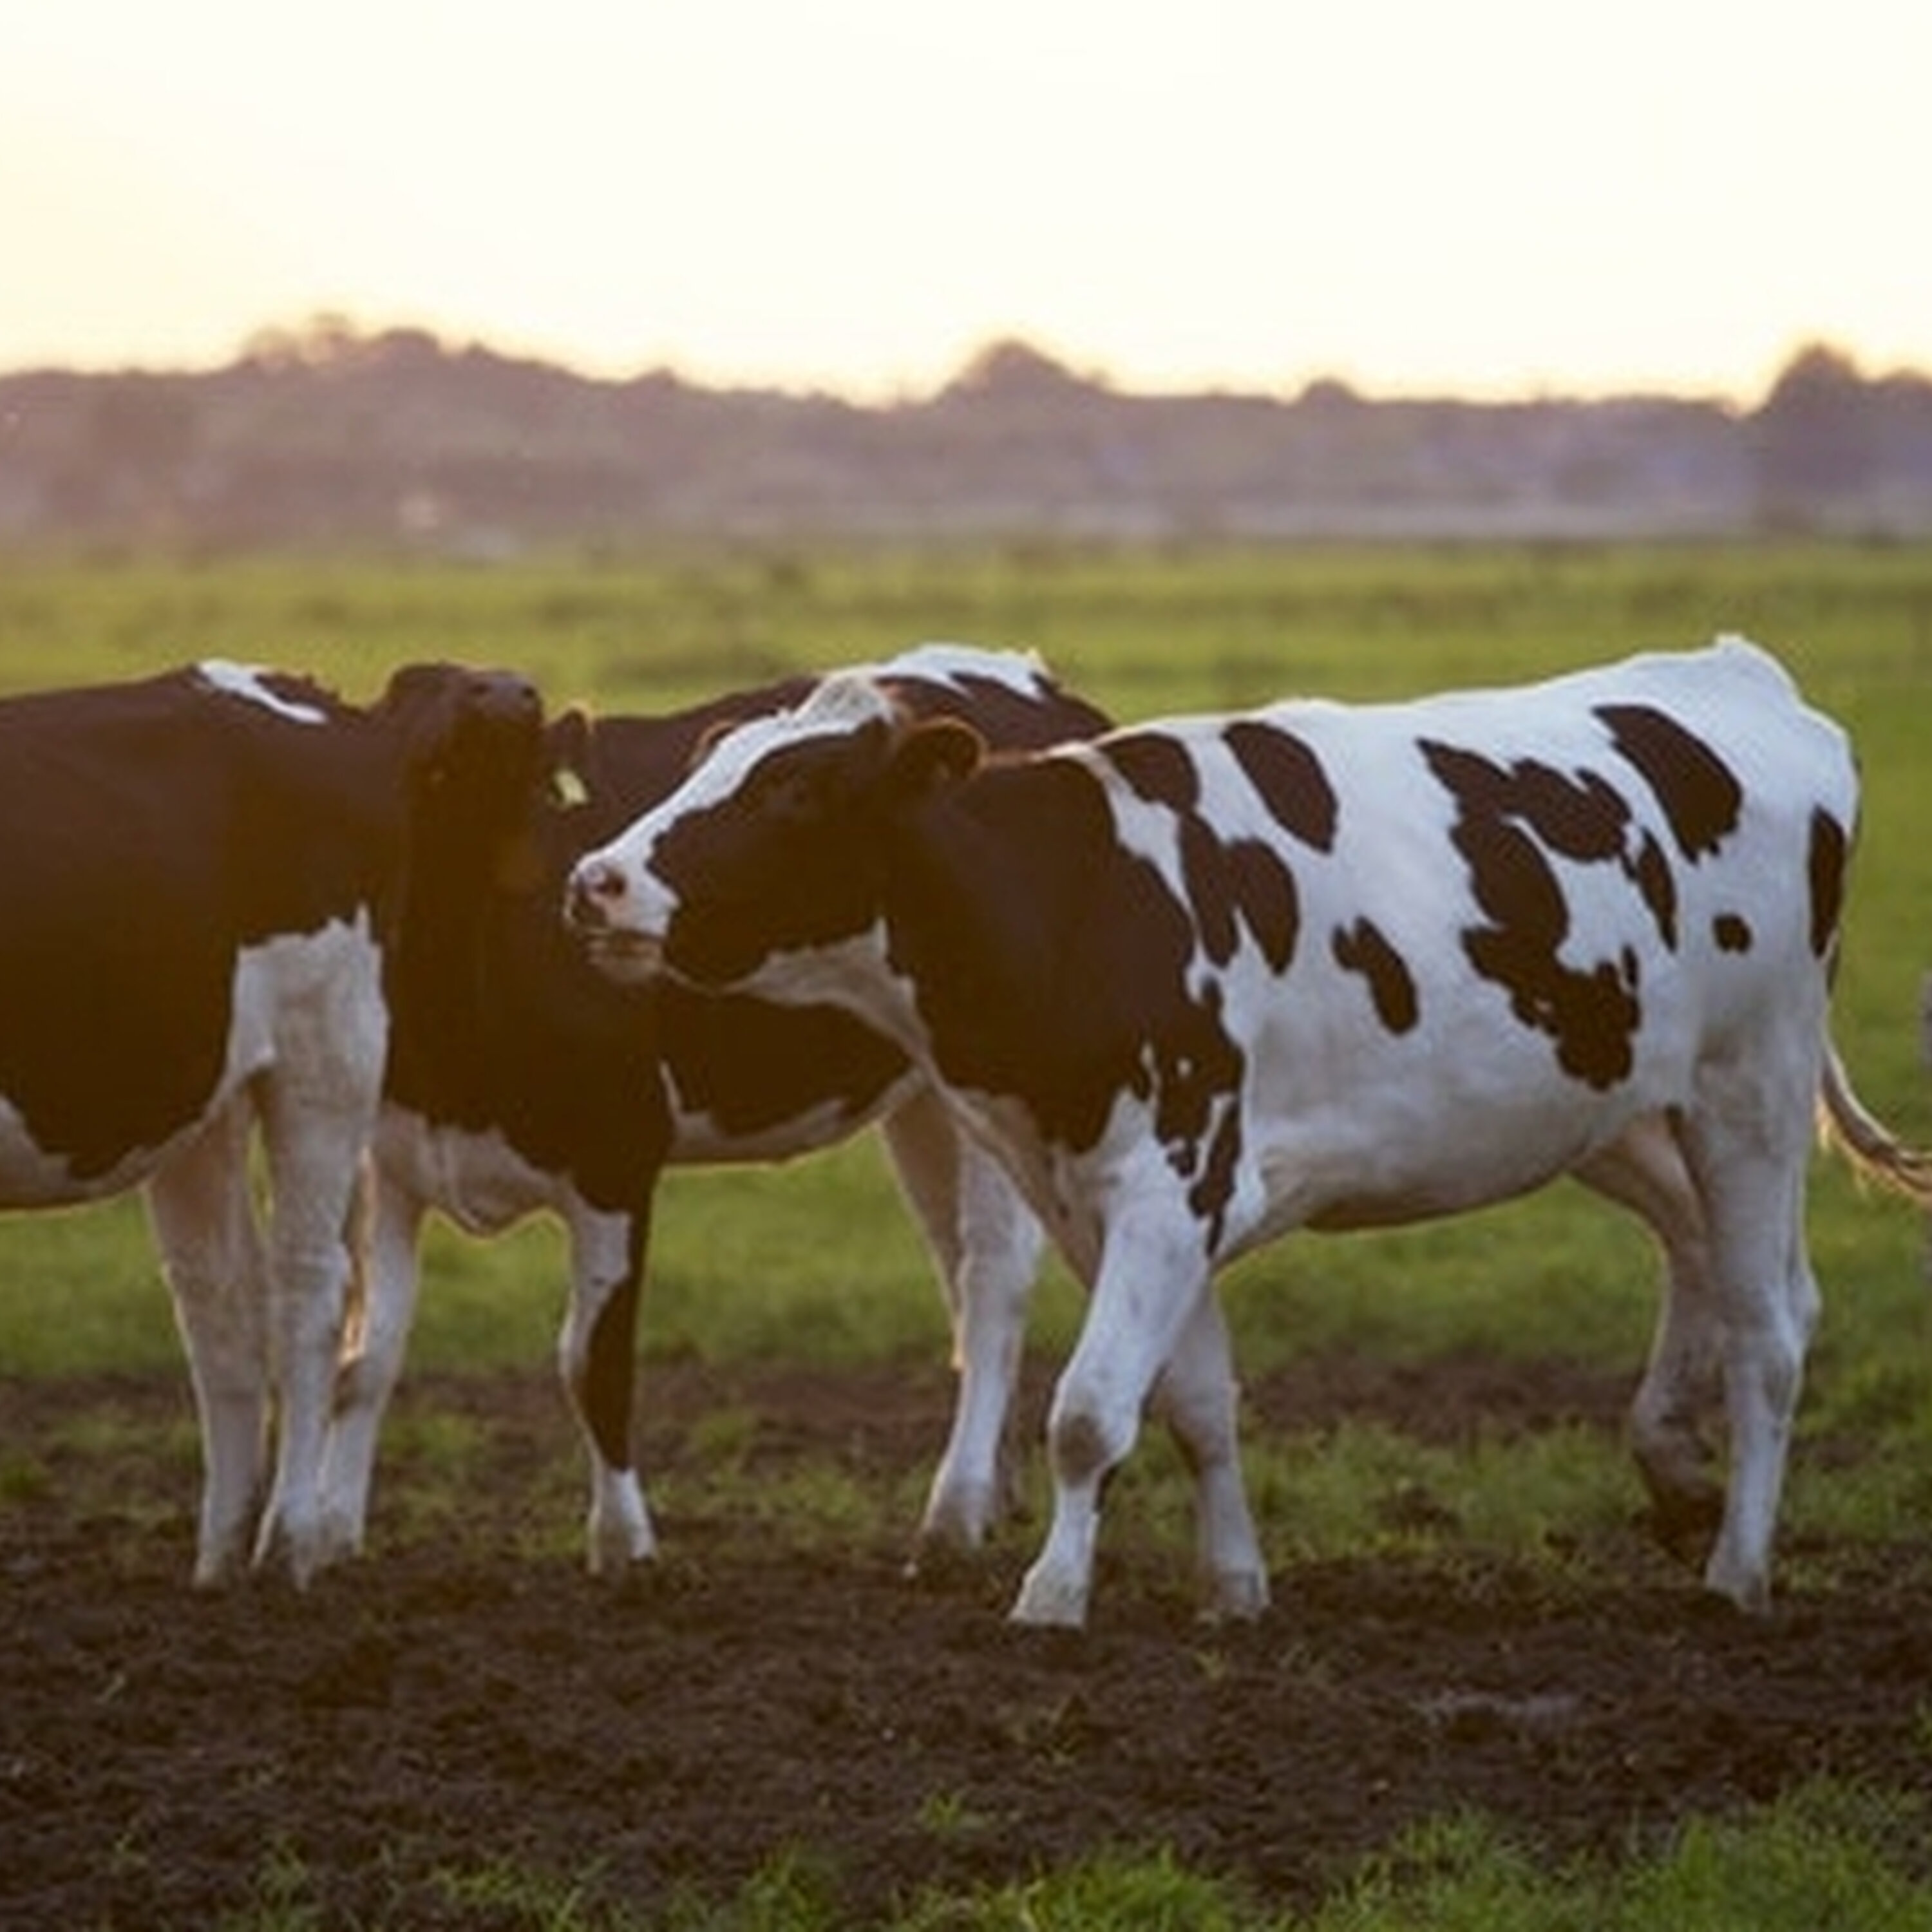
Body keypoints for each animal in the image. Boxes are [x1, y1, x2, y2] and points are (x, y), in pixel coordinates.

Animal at [0, 658, 546, 1586]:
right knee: (220, 1305)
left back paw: (286, 1541)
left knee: (308, 1288)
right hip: (204, 1099)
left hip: (323, 1055)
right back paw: (220, 1558)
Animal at [319, 643, 1111, 1574]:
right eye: (410, 686)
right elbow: (366, 1357)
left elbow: (594, 1362)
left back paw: (953, 1512)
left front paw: (623, 1545)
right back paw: (994, 1491)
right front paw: (326, 1533)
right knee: (955, 1269)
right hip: (927, 1101)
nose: (511, 693)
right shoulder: (391, 1161)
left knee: (991, 1281)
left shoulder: (617, 1159)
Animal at [565, 635, 1932, 1628]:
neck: (1085, 901)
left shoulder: (1171, 1186)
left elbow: (1087, 1412)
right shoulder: (1111, 1200)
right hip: (1611, 1104)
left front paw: (1051, 1596)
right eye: (709, 763)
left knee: (1771, 1328)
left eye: (795, 788)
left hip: (1750, 1087)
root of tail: (1736, 674)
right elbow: (1192, 1406)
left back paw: (1738, 1570)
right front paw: (1233, 1588)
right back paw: (1673, 1468)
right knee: (1703, 1254)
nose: (595, 881)